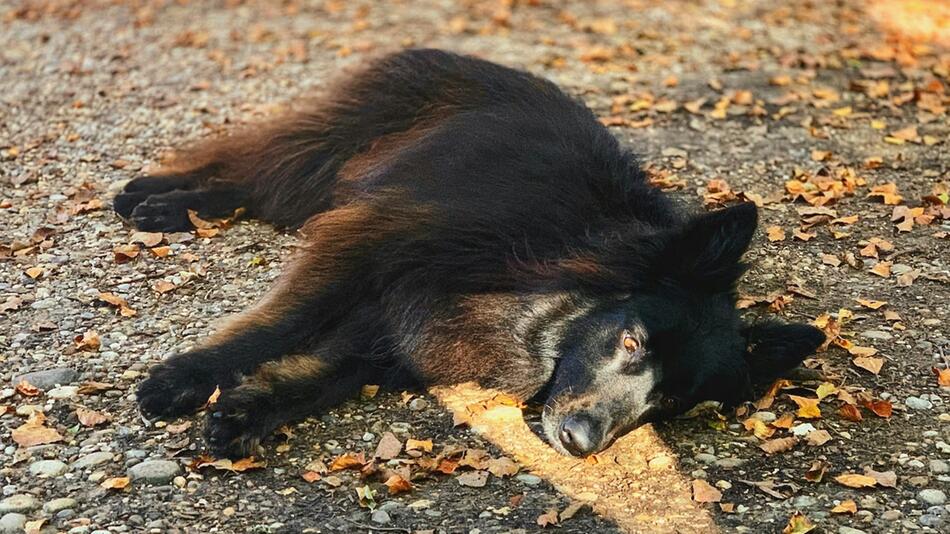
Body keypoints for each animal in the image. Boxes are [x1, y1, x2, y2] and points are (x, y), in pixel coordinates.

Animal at [119, 49, 824, 460]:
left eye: (674, 403)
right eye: (632, 342)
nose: (580, 443)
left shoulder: (401, 331)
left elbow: (320, 376)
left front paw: (248, 411)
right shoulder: (369, 244)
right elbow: (282, 324)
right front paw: (183, 378)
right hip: (326, 157)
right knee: (248, 173)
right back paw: (159, 201)